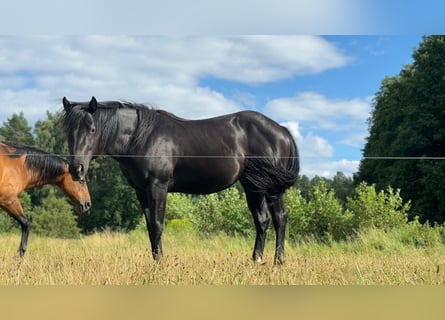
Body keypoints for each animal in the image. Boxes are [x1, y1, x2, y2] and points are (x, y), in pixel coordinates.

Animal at [61, 97, 298, 264]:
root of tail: (282, 131)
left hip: (271, 188)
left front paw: (160, 265)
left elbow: (158, 225)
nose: (76, 169)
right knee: (262, 220)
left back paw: (278, 262)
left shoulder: (158, 186)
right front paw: (155, 262)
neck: (141, 137)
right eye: (67, 131)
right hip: (253, 186)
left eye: (92, 129)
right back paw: (257, 260)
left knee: (280, 218)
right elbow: (150, 227)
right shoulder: (141, 191)